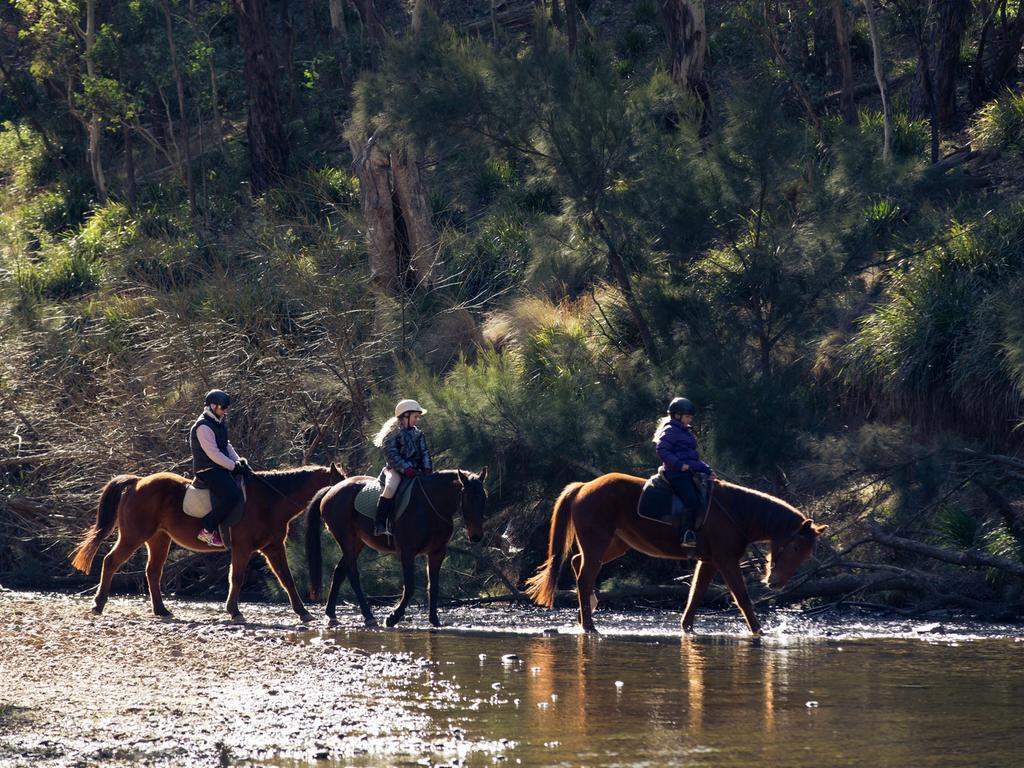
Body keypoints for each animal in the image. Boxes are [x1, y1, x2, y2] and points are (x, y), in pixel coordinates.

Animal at [72, 462, 346, 626]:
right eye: (339, 484)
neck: (270, 500)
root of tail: (138, 482)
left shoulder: (273, 547)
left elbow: (286, 579)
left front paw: (303, 612)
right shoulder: (243, 547)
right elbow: (237, 578)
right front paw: (234, 611)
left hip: (158, 539)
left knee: (153, 572)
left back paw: (161, 610)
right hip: (133, 536)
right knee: (111, 562)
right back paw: (98, 605)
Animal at [303, 473, 487, 626]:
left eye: (484, 498)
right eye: (468, 499)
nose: (476, 536)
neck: (430, 507)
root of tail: (332, 489)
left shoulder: (437, 553)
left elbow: (433, 586)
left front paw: (434, 620)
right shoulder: (407, 552)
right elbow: (410, 587)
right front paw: (393, 617)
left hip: (357, 542)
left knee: (340, 572)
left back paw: (331, 614)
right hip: (346, 539)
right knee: (352, 574)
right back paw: (368, 616)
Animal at [524, 475, 827, 638]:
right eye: (796, 548)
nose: (776, 583)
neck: (737, 512)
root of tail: (584, 486)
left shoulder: (710, 562)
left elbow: (695, 595)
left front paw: (686, 629)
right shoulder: (726, 560)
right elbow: (742, 597)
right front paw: (758, 631)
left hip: (614, 544)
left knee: (578, 565)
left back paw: (585, 615)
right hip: (598, 544)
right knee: (585, 576)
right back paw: (589, 626)